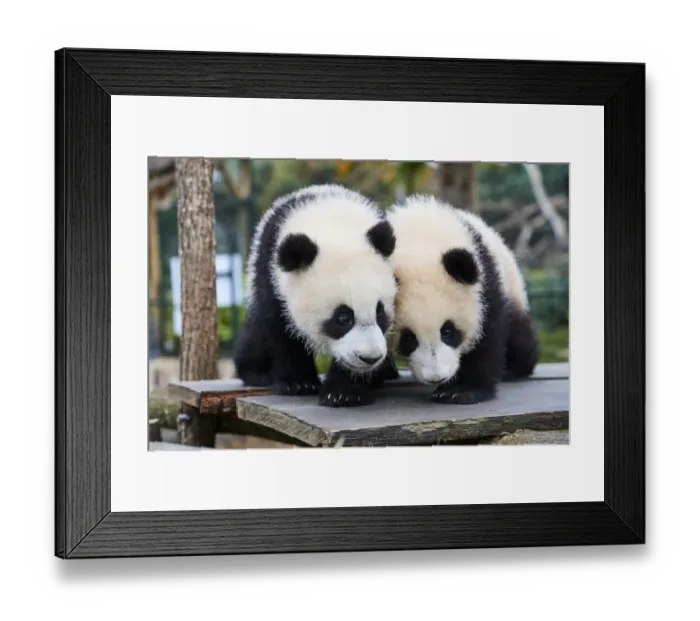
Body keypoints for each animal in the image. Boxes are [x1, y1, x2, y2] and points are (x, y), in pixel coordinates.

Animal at [233, 184, 400, 408]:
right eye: (343, 318)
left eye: (380, 313)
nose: (370, 358)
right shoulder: (271, 273)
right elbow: (279, 326)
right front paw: (298, 383)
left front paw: (343, 392)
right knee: (256, 334)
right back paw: (256, 373)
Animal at [385, 194, 540, 405]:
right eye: (408, 338)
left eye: (448, 331)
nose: (436, 377)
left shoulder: (484, 284)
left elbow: (486, 336)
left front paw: (460, 391)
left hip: (511, 287)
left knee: (519, 335)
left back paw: (515, 368)